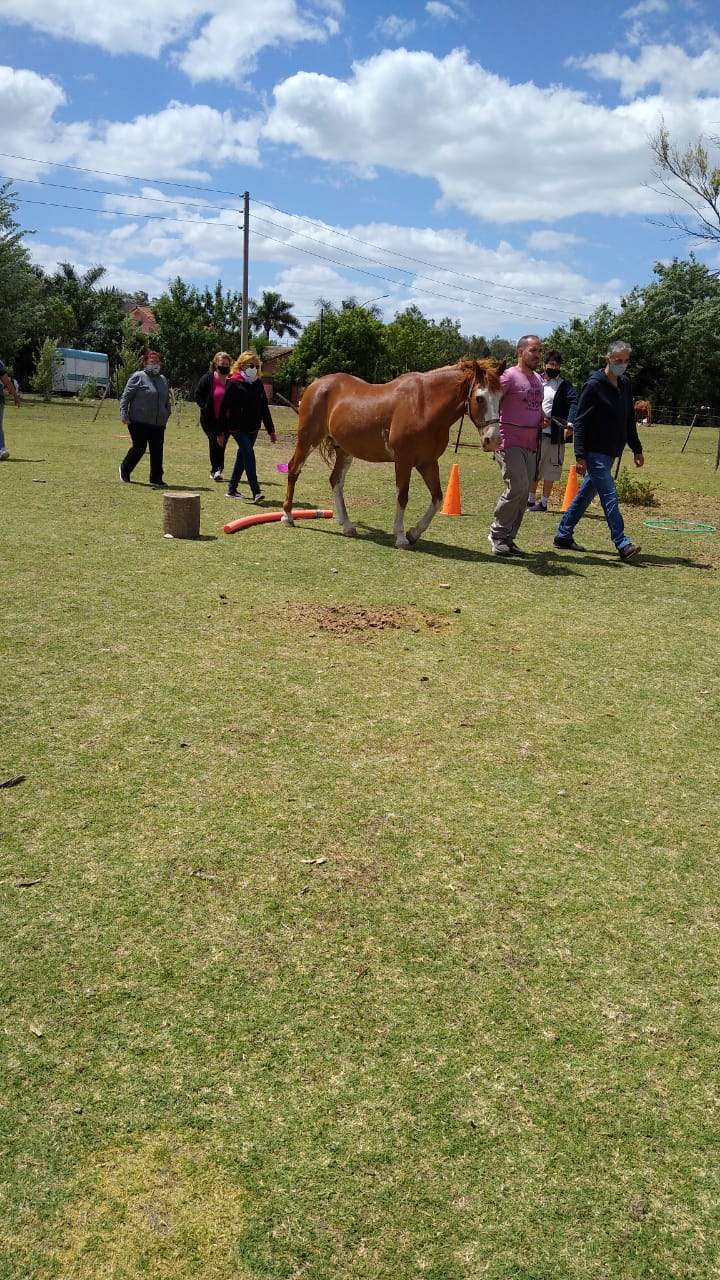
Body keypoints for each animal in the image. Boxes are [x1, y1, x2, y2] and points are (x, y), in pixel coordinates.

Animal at [281, 357, 505, 549]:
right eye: (480, 398)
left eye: (501, 398)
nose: (493, 440)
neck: (424, 405)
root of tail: (316, 385)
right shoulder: (403, 461)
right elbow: (402, 496)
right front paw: (401, 536)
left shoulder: (428, 462)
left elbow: (437, 498)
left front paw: (414, 533)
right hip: (307, 440)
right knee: (294, 470)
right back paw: (288, 516)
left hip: (344, 451)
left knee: (336, 481)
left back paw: (348, 526)